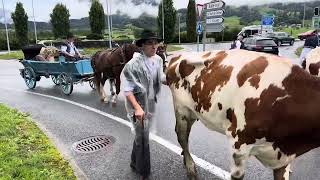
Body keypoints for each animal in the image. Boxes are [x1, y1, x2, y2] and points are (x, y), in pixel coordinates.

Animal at [166, 48, 320, 179]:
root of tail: (178, 56)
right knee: (182, 137)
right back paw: (191, 168)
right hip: (181, 109)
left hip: (193, 111)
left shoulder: (282, 157)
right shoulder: (239, 145)